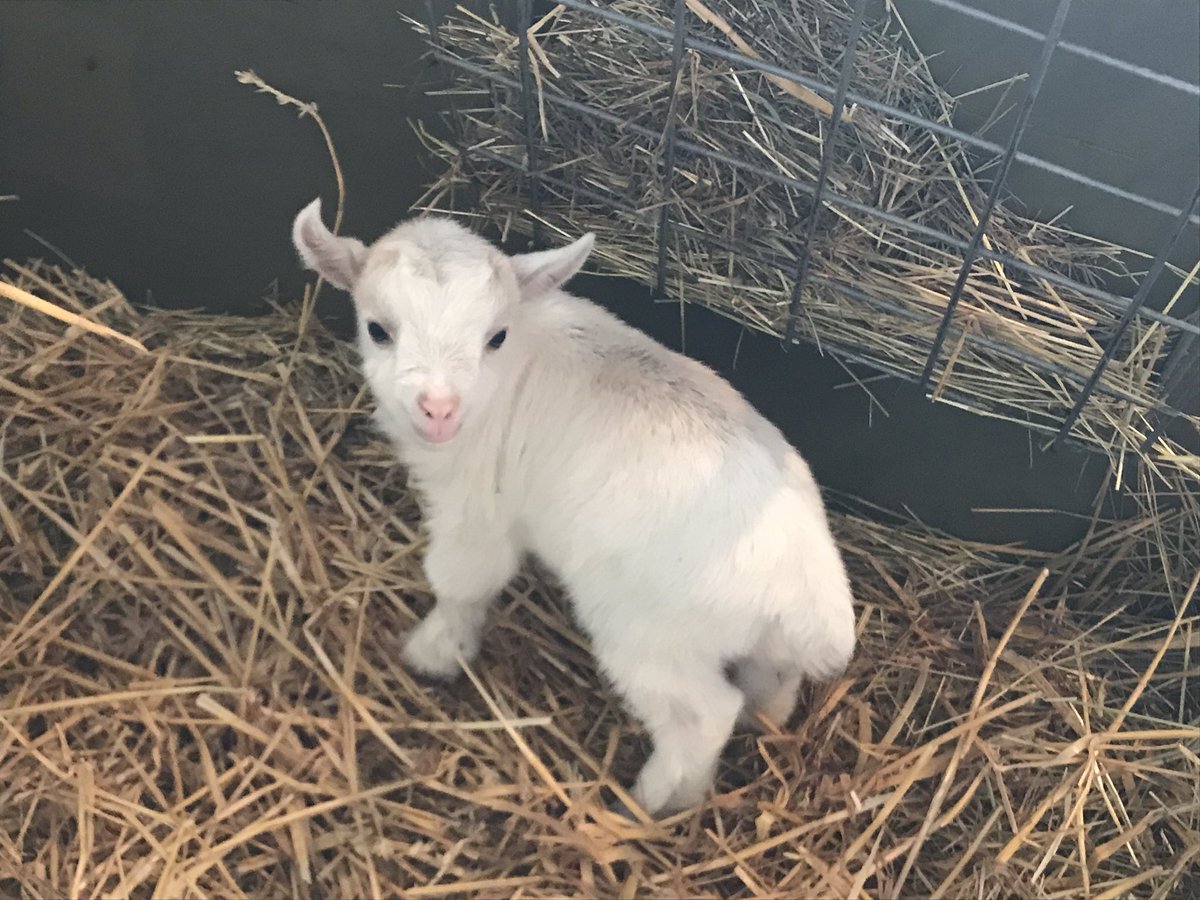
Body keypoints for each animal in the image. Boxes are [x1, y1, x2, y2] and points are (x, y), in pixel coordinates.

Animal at [291, 199, 857, 817]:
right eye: (378, 329)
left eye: (495, 337)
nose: (439, 409)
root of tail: (811, 600)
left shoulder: (475, 512)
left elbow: (462, 584)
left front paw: (433, 653)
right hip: (760, 648)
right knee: (772, 684)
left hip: (647, 635)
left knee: (704, 716)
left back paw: (646, 803)